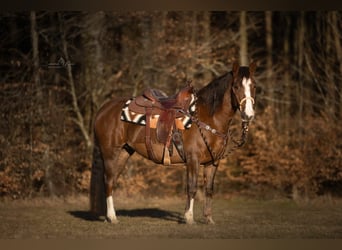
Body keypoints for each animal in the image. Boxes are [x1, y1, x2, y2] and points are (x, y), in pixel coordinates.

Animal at [89, 62, 255, 225]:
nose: (249, 115)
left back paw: (109, 216)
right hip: (110, 153)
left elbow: (208, 189)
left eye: (253, 86)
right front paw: (189, 217)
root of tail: (103, 110)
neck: (207, 118)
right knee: (108, 180)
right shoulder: (193, 159)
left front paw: (208, 219)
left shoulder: (213, 163)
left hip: (124, 152)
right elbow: (192, 188)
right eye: (236, 86)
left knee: (112, 181)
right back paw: (112, 217)